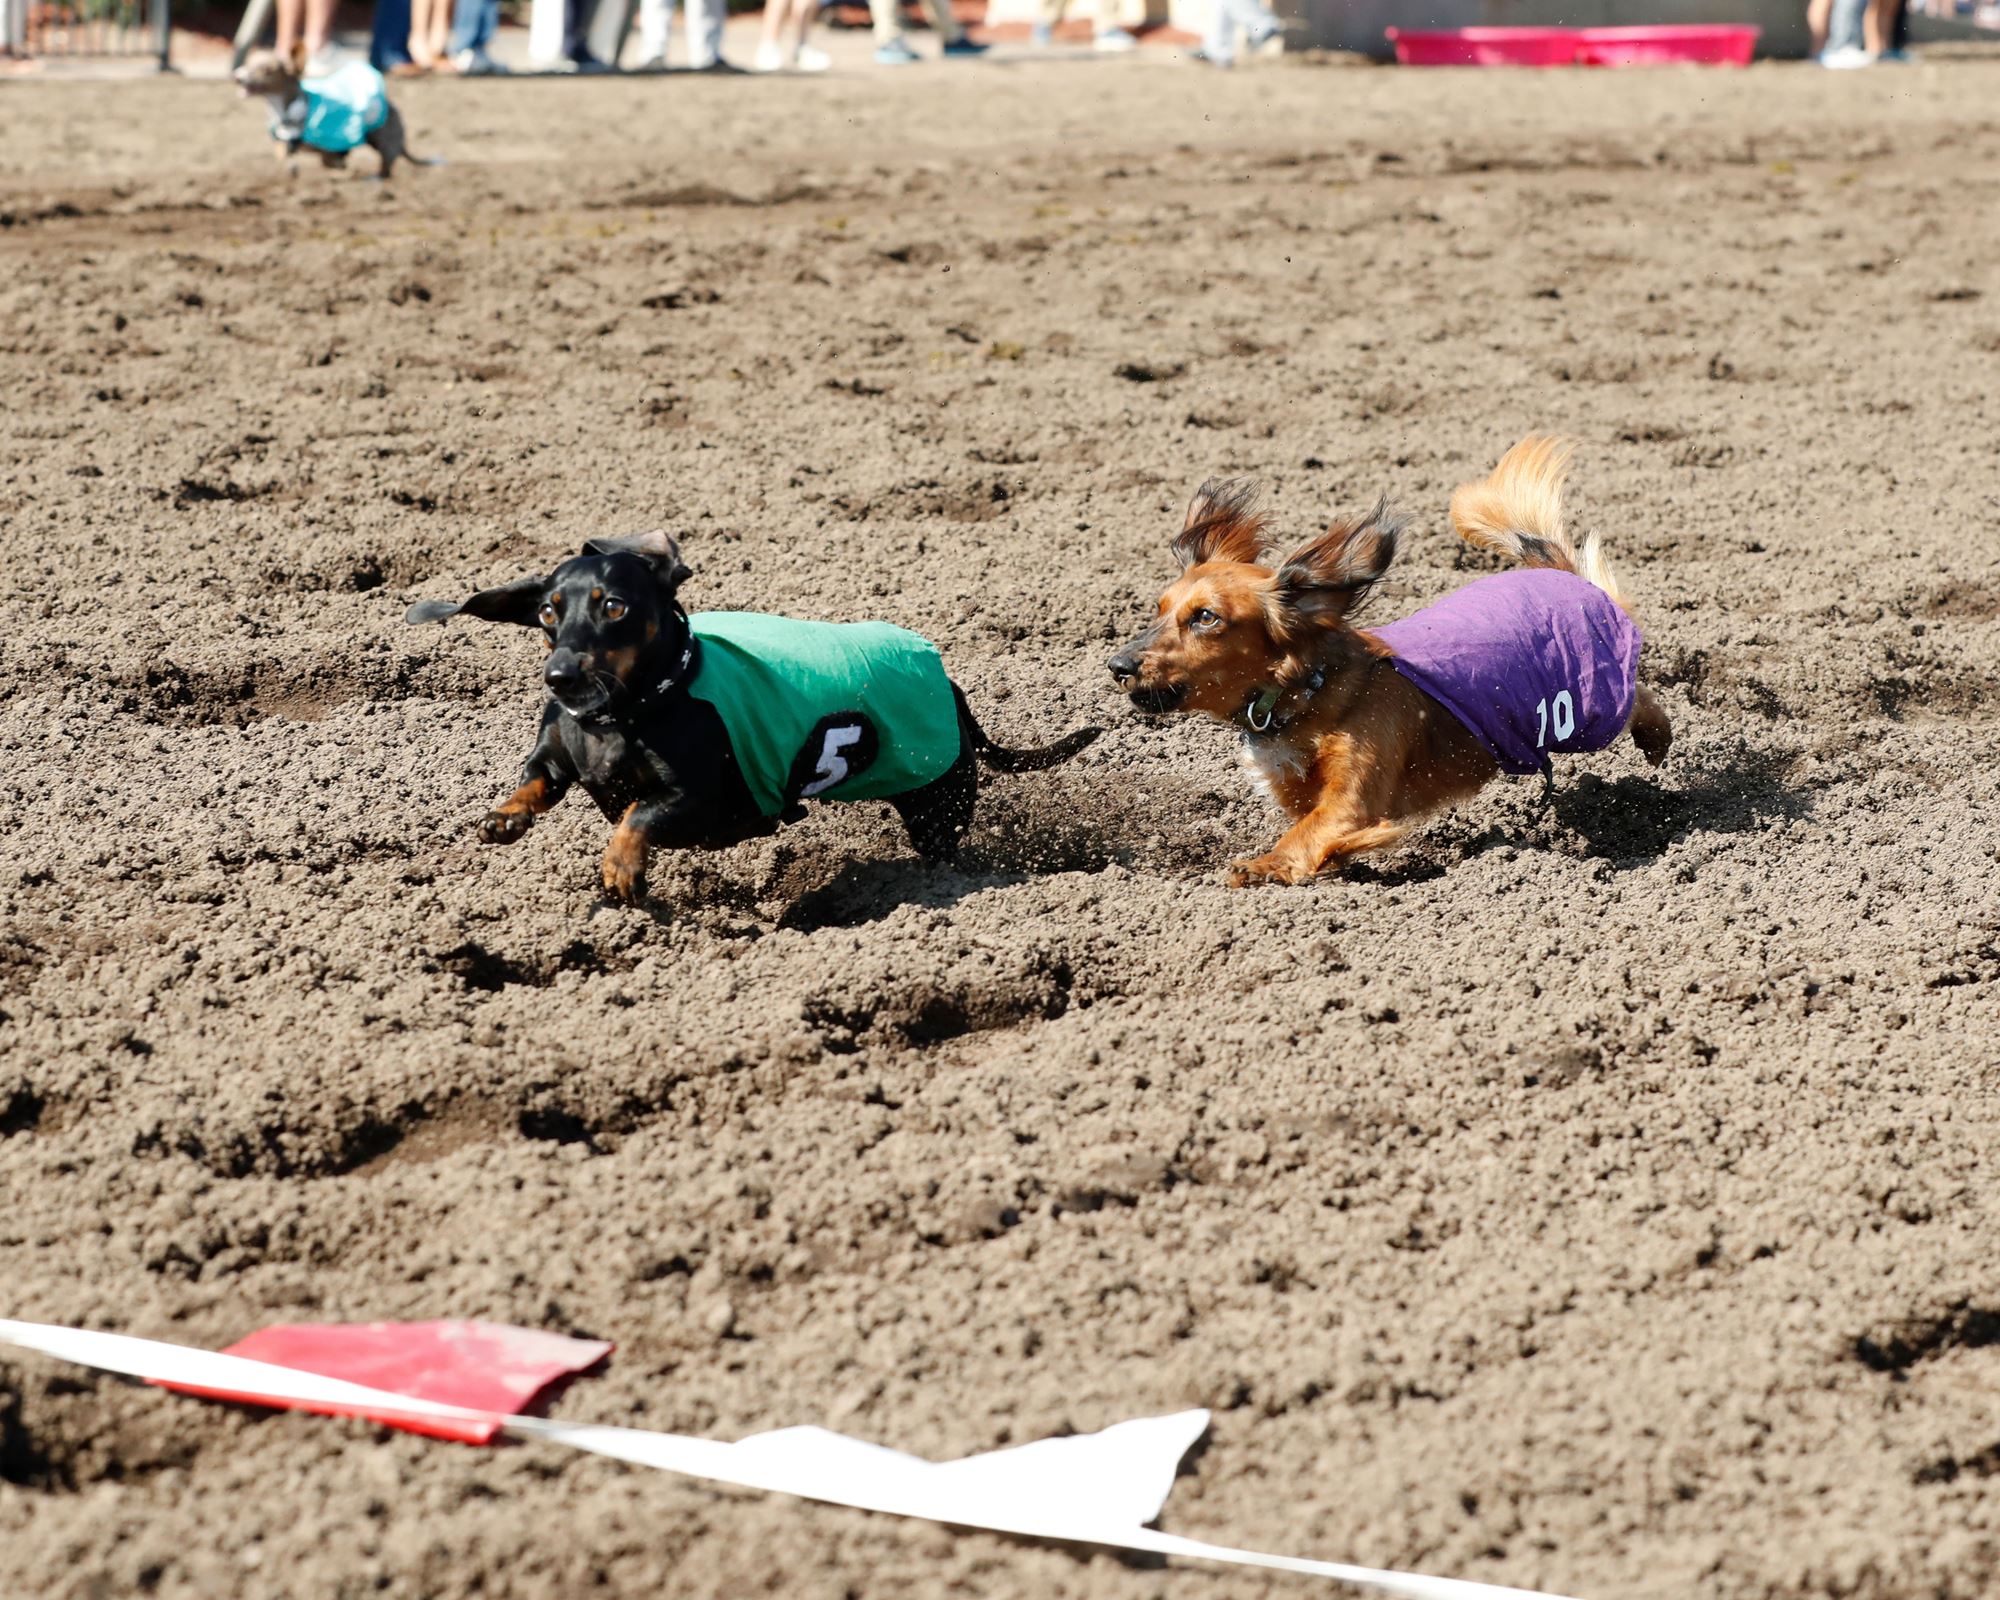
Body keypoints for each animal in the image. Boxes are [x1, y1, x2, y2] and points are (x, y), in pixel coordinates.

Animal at [231, 45, 426, 177]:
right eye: (247, 63)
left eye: (266, 70)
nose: (238, 77)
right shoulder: (282, 142)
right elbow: (284, 155)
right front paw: (292, 168)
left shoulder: (332, 143)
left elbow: (330, 158)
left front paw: (342, 166)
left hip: (385, 142)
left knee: (386, 165)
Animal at [1112, 434, 1672, 888]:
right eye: (1158, 609)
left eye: (1206, 617)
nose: (1117, 665)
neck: (1312, 694)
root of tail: (1564, 578)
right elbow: (1313, 829)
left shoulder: (1350, 798)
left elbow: (1313, 833)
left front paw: (1266, 865)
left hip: (1590, 708)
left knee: (1639, 696)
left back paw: (1657, 739)